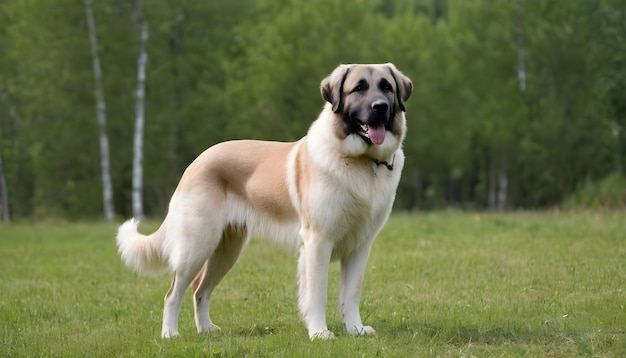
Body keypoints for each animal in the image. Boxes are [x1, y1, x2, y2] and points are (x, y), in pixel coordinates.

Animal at [115, 63, 412, 340]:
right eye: (359, 88)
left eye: (386, 87)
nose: (380, 107)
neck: (362, 162)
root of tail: (196, 162)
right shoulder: (318, 241)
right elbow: (318, 293)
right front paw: (319, 333)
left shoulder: (360, 246)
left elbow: (351, 294)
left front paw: (356, 329)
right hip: (196, 246)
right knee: (173, 293)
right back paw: (170, 334)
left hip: (226, 250)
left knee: (200, 289)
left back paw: (206, 329)